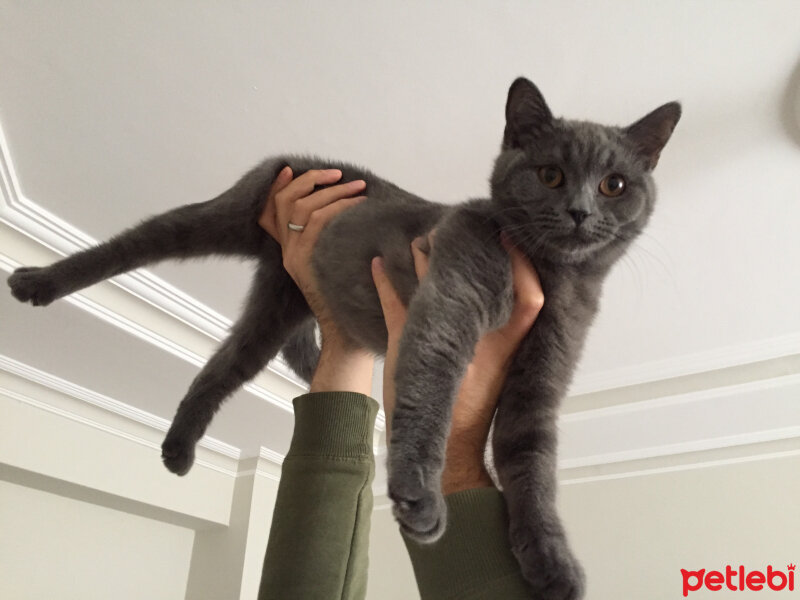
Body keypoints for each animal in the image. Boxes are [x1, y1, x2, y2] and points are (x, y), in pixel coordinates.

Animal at [7, 78, 680, 596]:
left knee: (224, 365)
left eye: (615, 184)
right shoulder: (453, 291)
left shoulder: (543, 373)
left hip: (277, 305)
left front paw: (552, 565)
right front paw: (419, 499)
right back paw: (37, 281)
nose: (581, 212)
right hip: (226, 214)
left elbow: (532, 461)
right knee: (136, 241)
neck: (554, 277)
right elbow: (432, 385)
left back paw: (178, 451)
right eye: (550, 174)